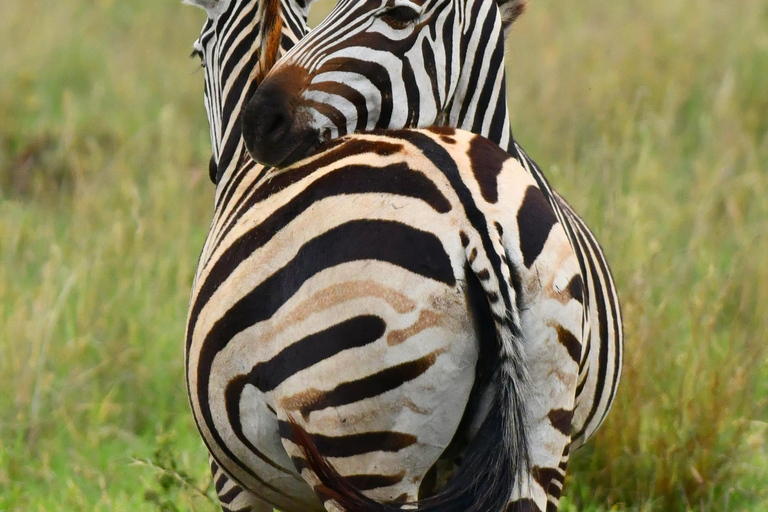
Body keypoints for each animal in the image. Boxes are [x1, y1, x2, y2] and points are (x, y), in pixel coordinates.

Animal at [184, 0, 584, 510]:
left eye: (197, 55)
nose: (257, 126)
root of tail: (473, 218)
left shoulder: (230, 478)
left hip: (360, 436)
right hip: (542, 422)